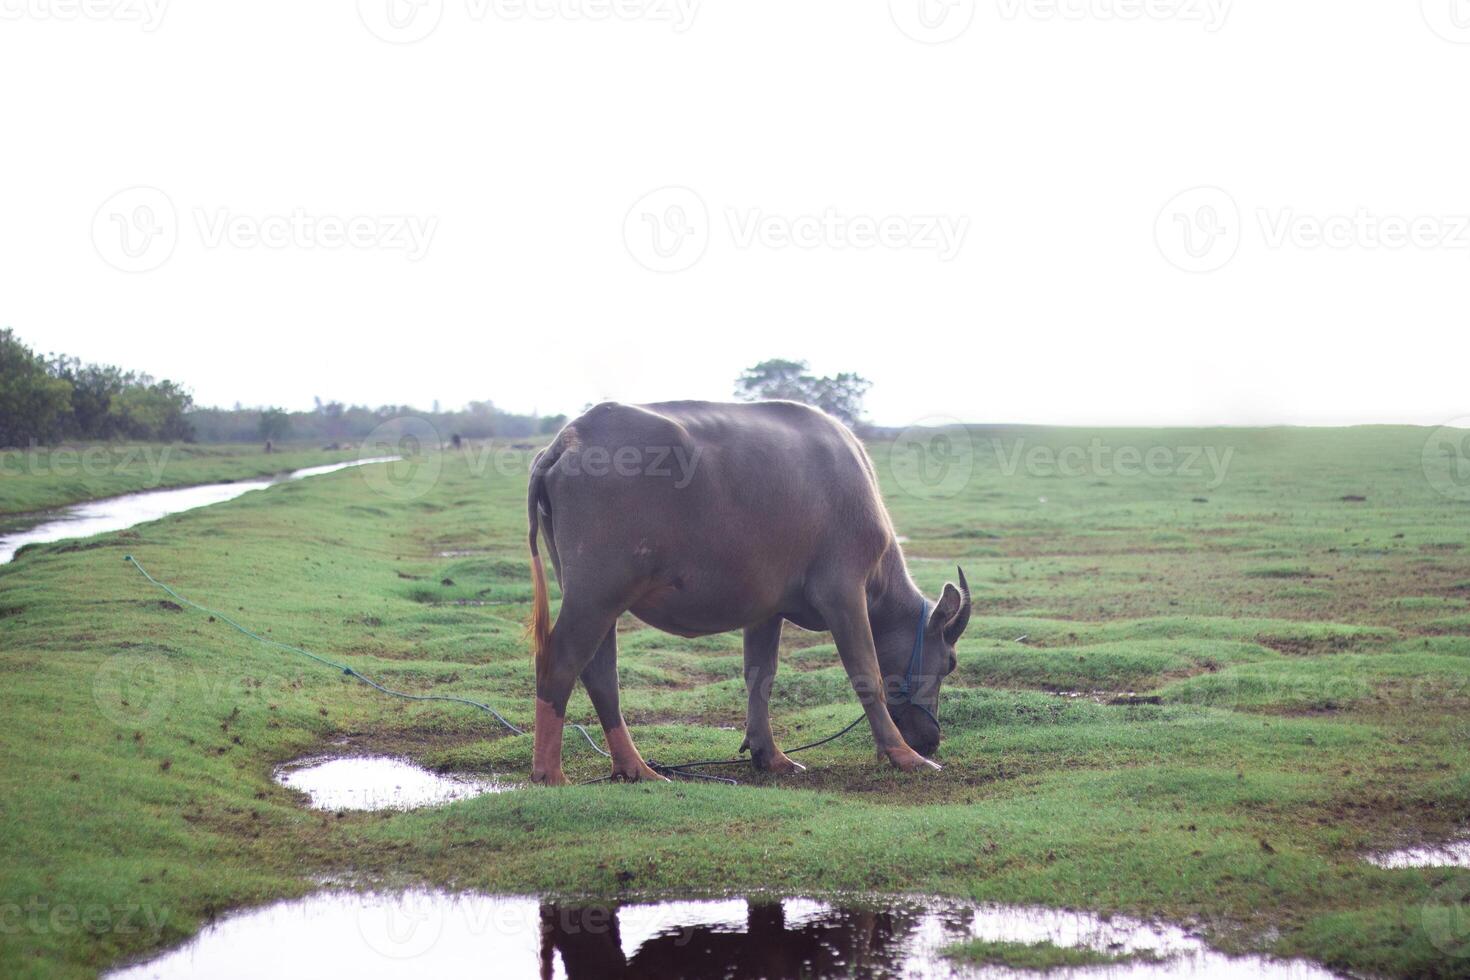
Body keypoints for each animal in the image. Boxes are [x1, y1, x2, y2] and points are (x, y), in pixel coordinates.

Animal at [523, 402, 970, 787]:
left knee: (601, 675)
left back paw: (635, 768)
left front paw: (768, 755)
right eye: (949, 662)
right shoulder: (844, 593)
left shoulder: (766, 611)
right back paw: (550, 774)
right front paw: (903, 754)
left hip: (599, 600)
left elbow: (760, 676)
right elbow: (867, 674)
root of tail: (568, 441)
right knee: (560, 661)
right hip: (595, 595)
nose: (931, 739)